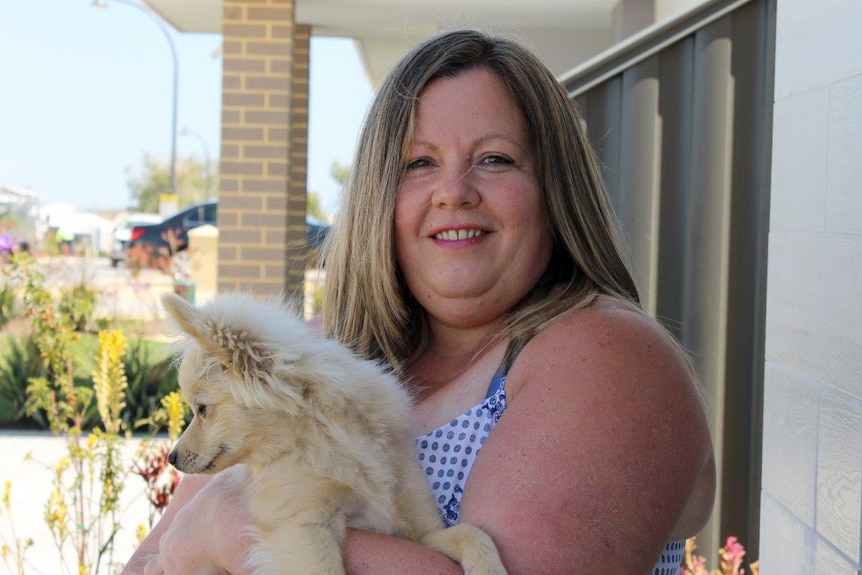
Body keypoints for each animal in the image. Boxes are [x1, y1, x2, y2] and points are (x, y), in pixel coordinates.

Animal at [162, 294, 506, 572]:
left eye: (202, 409)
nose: (171, 458)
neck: (326, 442)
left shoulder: (422, 530)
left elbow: (473, 534)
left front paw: (489, 568)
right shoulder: (303, 528)